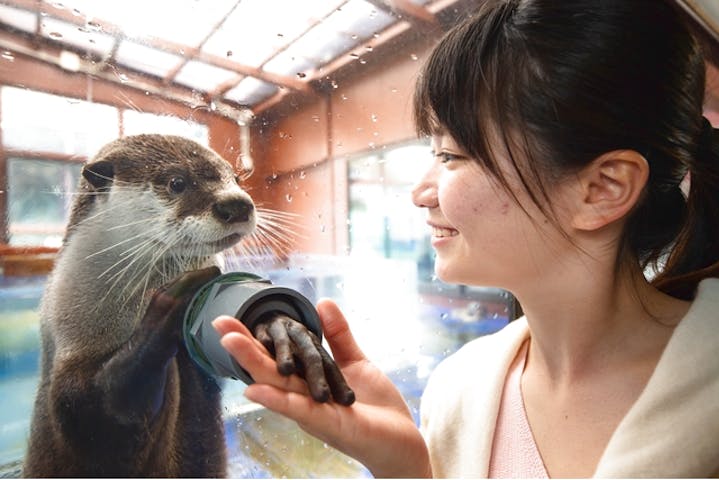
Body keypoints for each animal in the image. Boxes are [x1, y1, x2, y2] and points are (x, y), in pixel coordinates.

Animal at [23, 134, 356, 476]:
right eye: (177, 182)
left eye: (236, 180)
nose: (237, 204)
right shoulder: (71, 354)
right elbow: (89, 410)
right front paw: (177, 297)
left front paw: (283, 329)